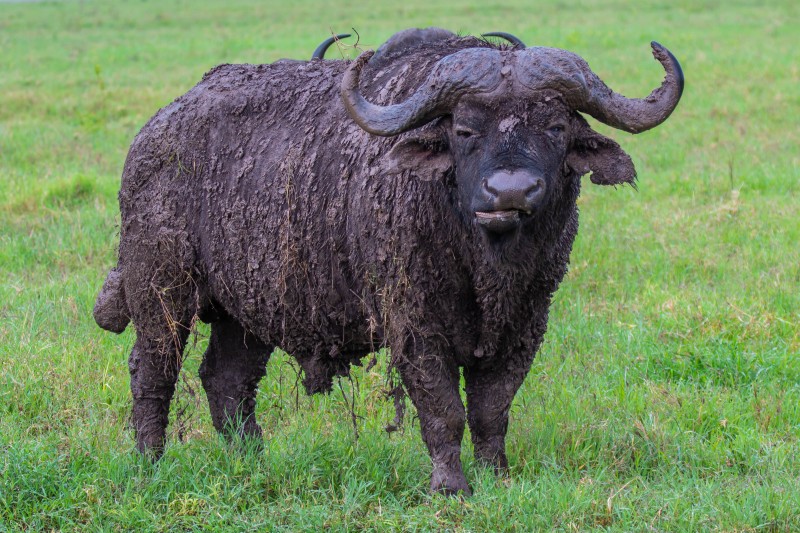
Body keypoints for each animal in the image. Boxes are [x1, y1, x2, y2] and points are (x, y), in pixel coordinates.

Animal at [94, 31, 680, 492]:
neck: (481, 265)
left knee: (227, 382)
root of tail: (157, 130)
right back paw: (150, 462)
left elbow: (492, 409)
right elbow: (443, 410)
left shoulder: (526, 324)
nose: (509, 192)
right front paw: (451, 486)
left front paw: (497, 476)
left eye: (556, 127)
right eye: (464, 130)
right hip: (160, 289)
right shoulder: (413, 325)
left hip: (249, 309)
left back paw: (253, 462)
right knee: (152, 371)